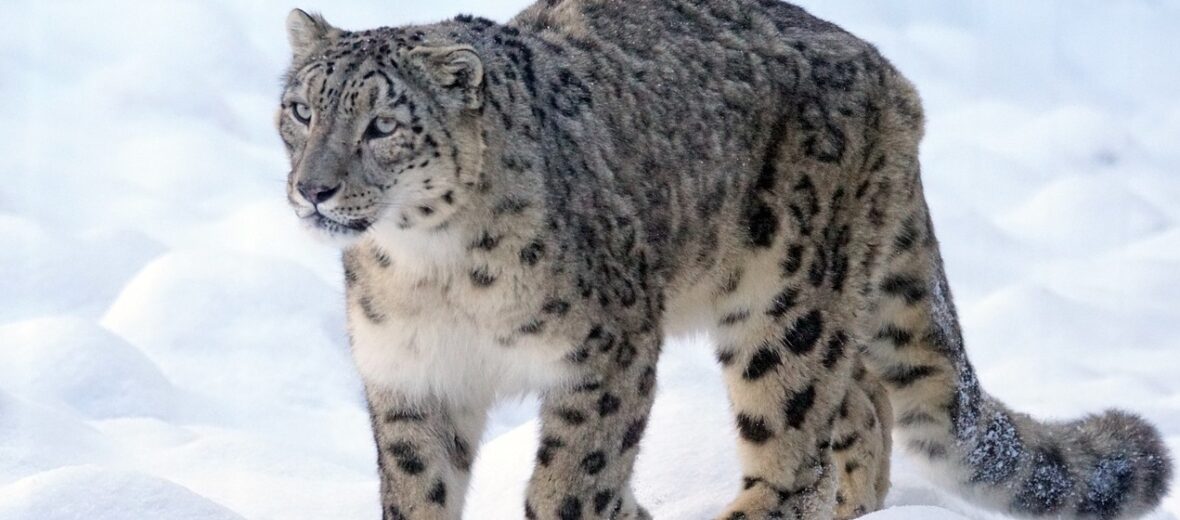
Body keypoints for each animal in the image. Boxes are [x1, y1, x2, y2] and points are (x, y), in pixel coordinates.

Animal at [276, 2, 1170, 516]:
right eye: (300, 109)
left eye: (383, 125)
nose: (314, 188)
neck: (429, 272)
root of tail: (889, 73)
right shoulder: (411, 380)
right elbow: (418, 491)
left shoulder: (605, 354)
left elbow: (573, 480)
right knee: (864, 403)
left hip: (788, 302)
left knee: (795, 444)